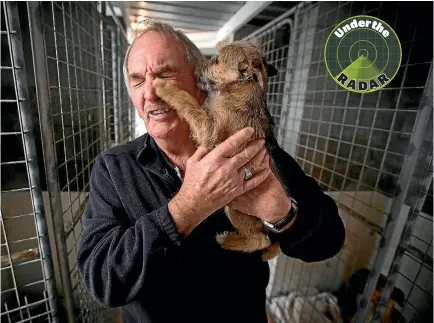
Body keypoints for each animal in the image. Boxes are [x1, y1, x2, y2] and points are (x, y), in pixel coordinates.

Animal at [153, 41, 284, 264]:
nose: (195, 66)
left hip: (236, 210)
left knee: (260, 240)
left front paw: (165, 88)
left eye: (216, 60)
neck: (240, 92)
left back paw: (228, 241)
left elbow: (188, 102)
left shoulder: (209, 129)